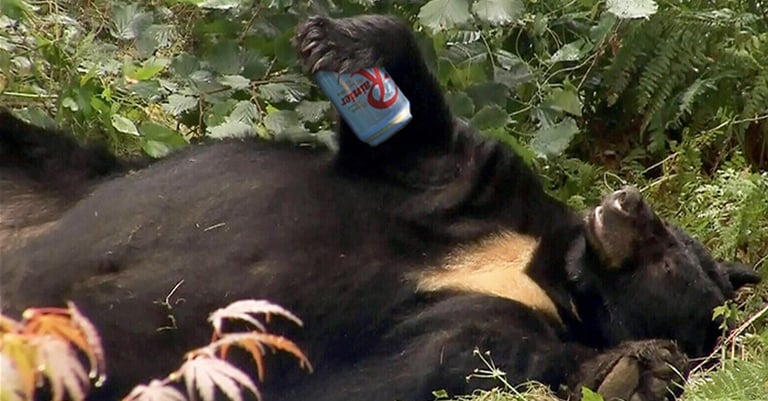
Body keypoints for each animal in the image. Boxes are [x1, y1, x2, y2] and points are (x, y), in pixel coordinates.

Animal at [0, 13, 760, 401]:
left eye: (671, 252)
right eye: (674, 231)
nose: (628, 200)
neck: (545, 272)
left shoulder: (467, 325)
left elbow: (452, 363)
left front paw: (638, 369)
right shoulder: (477, 190)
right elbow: (420, 136)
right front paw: (349, 41)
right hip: (37, 175)